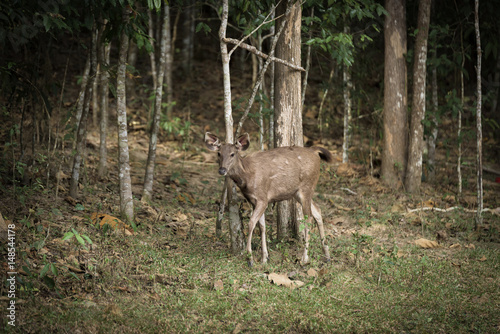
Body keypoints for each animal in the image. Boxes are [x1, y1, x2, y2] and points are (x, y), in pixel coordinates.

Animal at [204, 132, 332, 264]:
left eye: (232, 154)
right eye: (219, 153)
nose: (222, 170)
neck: (247, 176)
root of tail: (315, 152)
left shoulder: (262, 198)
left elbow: (251, 223)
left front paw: (250, 258)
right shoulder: (254, 201)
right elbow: (262, 226)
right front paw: (264, 258)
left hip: (306, 187)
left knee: (308, 219)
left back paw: (304, 259)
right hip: (297, 192)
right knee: (317, 211)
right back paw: (327, 255)